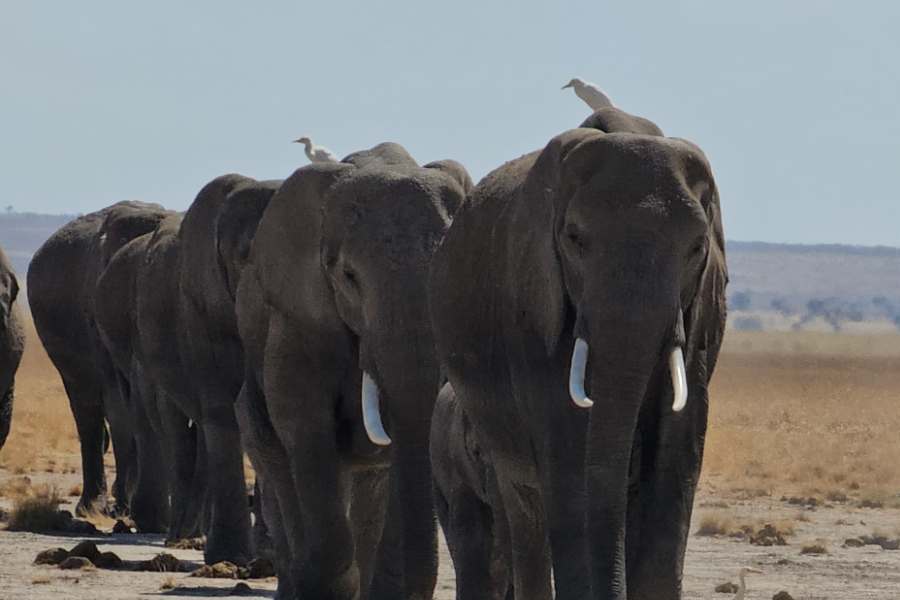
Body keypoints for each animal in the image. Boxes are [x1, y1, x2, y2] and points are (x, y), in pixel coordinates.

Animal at [232, 142, 472, 600]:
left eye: (446, 269)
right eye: (348, 276)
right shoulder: (297, 315)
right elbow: (304, 423)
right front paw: (327, 584)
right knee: (280, 468)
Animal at [426, 108, 728, 600]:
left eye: (697, 248)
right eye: (574, 239)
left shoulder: (700, 317)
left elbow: (677, 453)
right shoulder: (532, 311)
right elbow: (569, 457)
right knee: (524, 510)